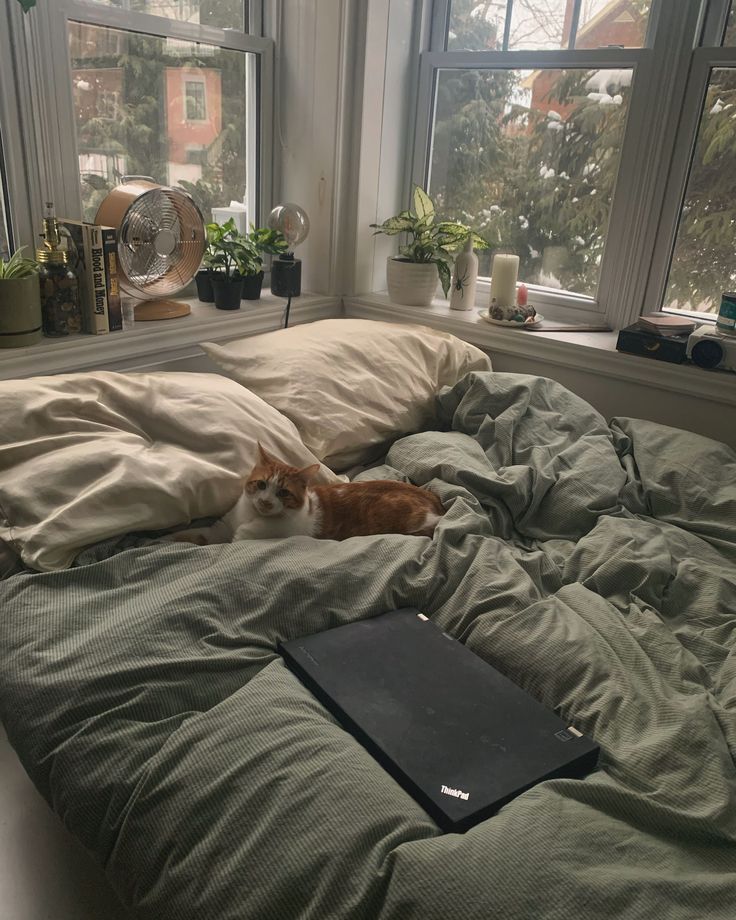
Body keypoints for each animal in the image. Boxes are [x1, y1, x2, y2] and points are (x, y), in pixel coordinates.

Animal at [172, 444, 442, 544]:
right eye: (261, 485)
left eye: (283, 493)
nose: (265, 502)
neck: (250, 517)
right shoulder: (220, 528)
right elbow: (194, 534)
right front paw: (169, 540)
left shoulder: (240, 540)